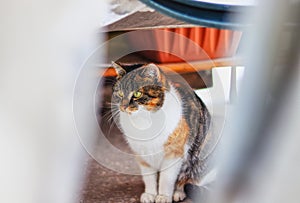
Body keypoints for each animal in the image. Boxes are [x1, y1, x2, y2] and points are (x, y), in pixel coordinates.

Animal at [111, 62, 212, 203]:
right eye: (119, 93)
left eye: (137, 94)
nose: (123, 107)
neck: (144, 122)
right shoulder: (142, 154)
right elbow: (149, 177)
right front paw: (150, 194)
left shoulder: (174, 153)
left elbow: (166, 178)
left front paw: (163, 196)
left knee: (185, 176)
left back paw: (178, 192)